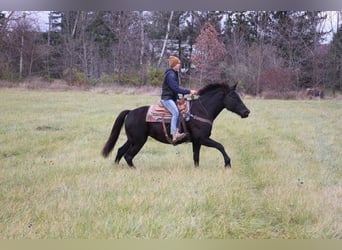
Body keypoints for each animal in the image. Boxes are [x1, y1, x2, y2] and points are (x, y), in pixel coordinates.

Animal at [101, 83, 248, 169]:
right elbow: (220, 146)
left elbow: (196, 157)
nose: (247, 112)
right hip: (138, 141)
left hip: (132, 139)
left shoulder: (197, 141)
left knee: (120, 151)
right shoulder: (203, 139)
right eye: (234, 97)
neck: (201, 110)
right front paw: (228, 163)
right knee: (128, 156)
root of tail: (130, 112)